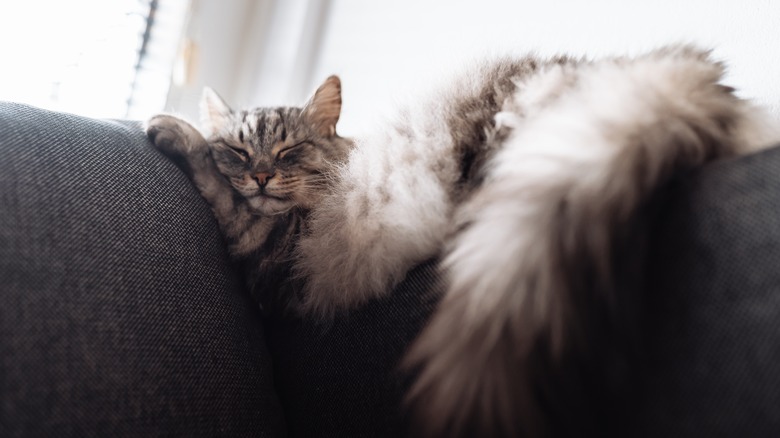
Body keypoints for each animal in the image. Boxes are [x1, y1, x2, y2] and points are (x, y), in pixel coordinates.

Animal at [145, 46, 780, 436]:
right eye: (240, 151)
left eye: (289, 152)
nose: (259, 176)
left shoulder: (274, 251)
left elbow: (213, 183)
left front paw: (167, 127)